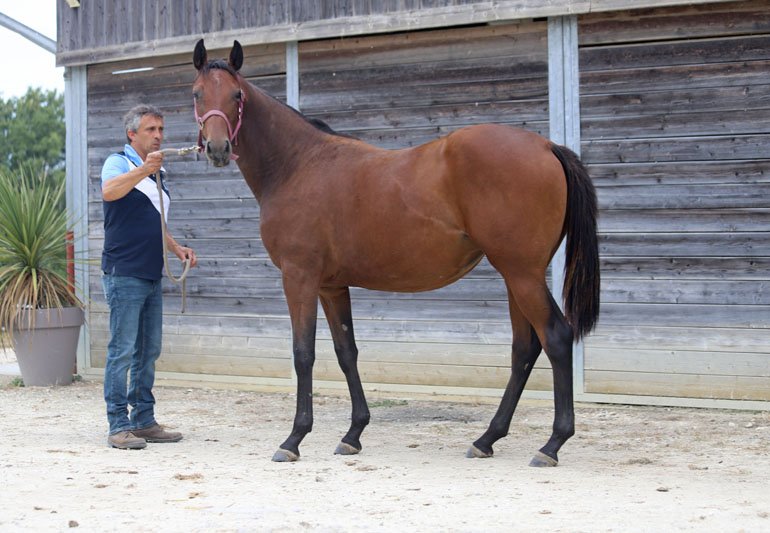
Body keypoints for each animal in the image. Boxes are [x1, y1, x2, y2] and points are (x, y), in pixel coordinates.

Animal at [191, 39, 600, 467]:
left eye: (237, 95)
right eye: (197, 94)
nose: (217, 149)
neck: (298, 165)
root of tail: (547, 146)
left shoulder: (298, 277)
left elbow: (303, 353)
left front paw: (294, 439)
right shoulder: (331, 286)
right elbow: (346, 351)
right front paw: (353, 433)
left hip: (522, 274)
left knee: (556, 338)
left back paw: (551, 444)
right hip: (516, 276)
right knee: (524, 348)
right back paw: (487, 438)